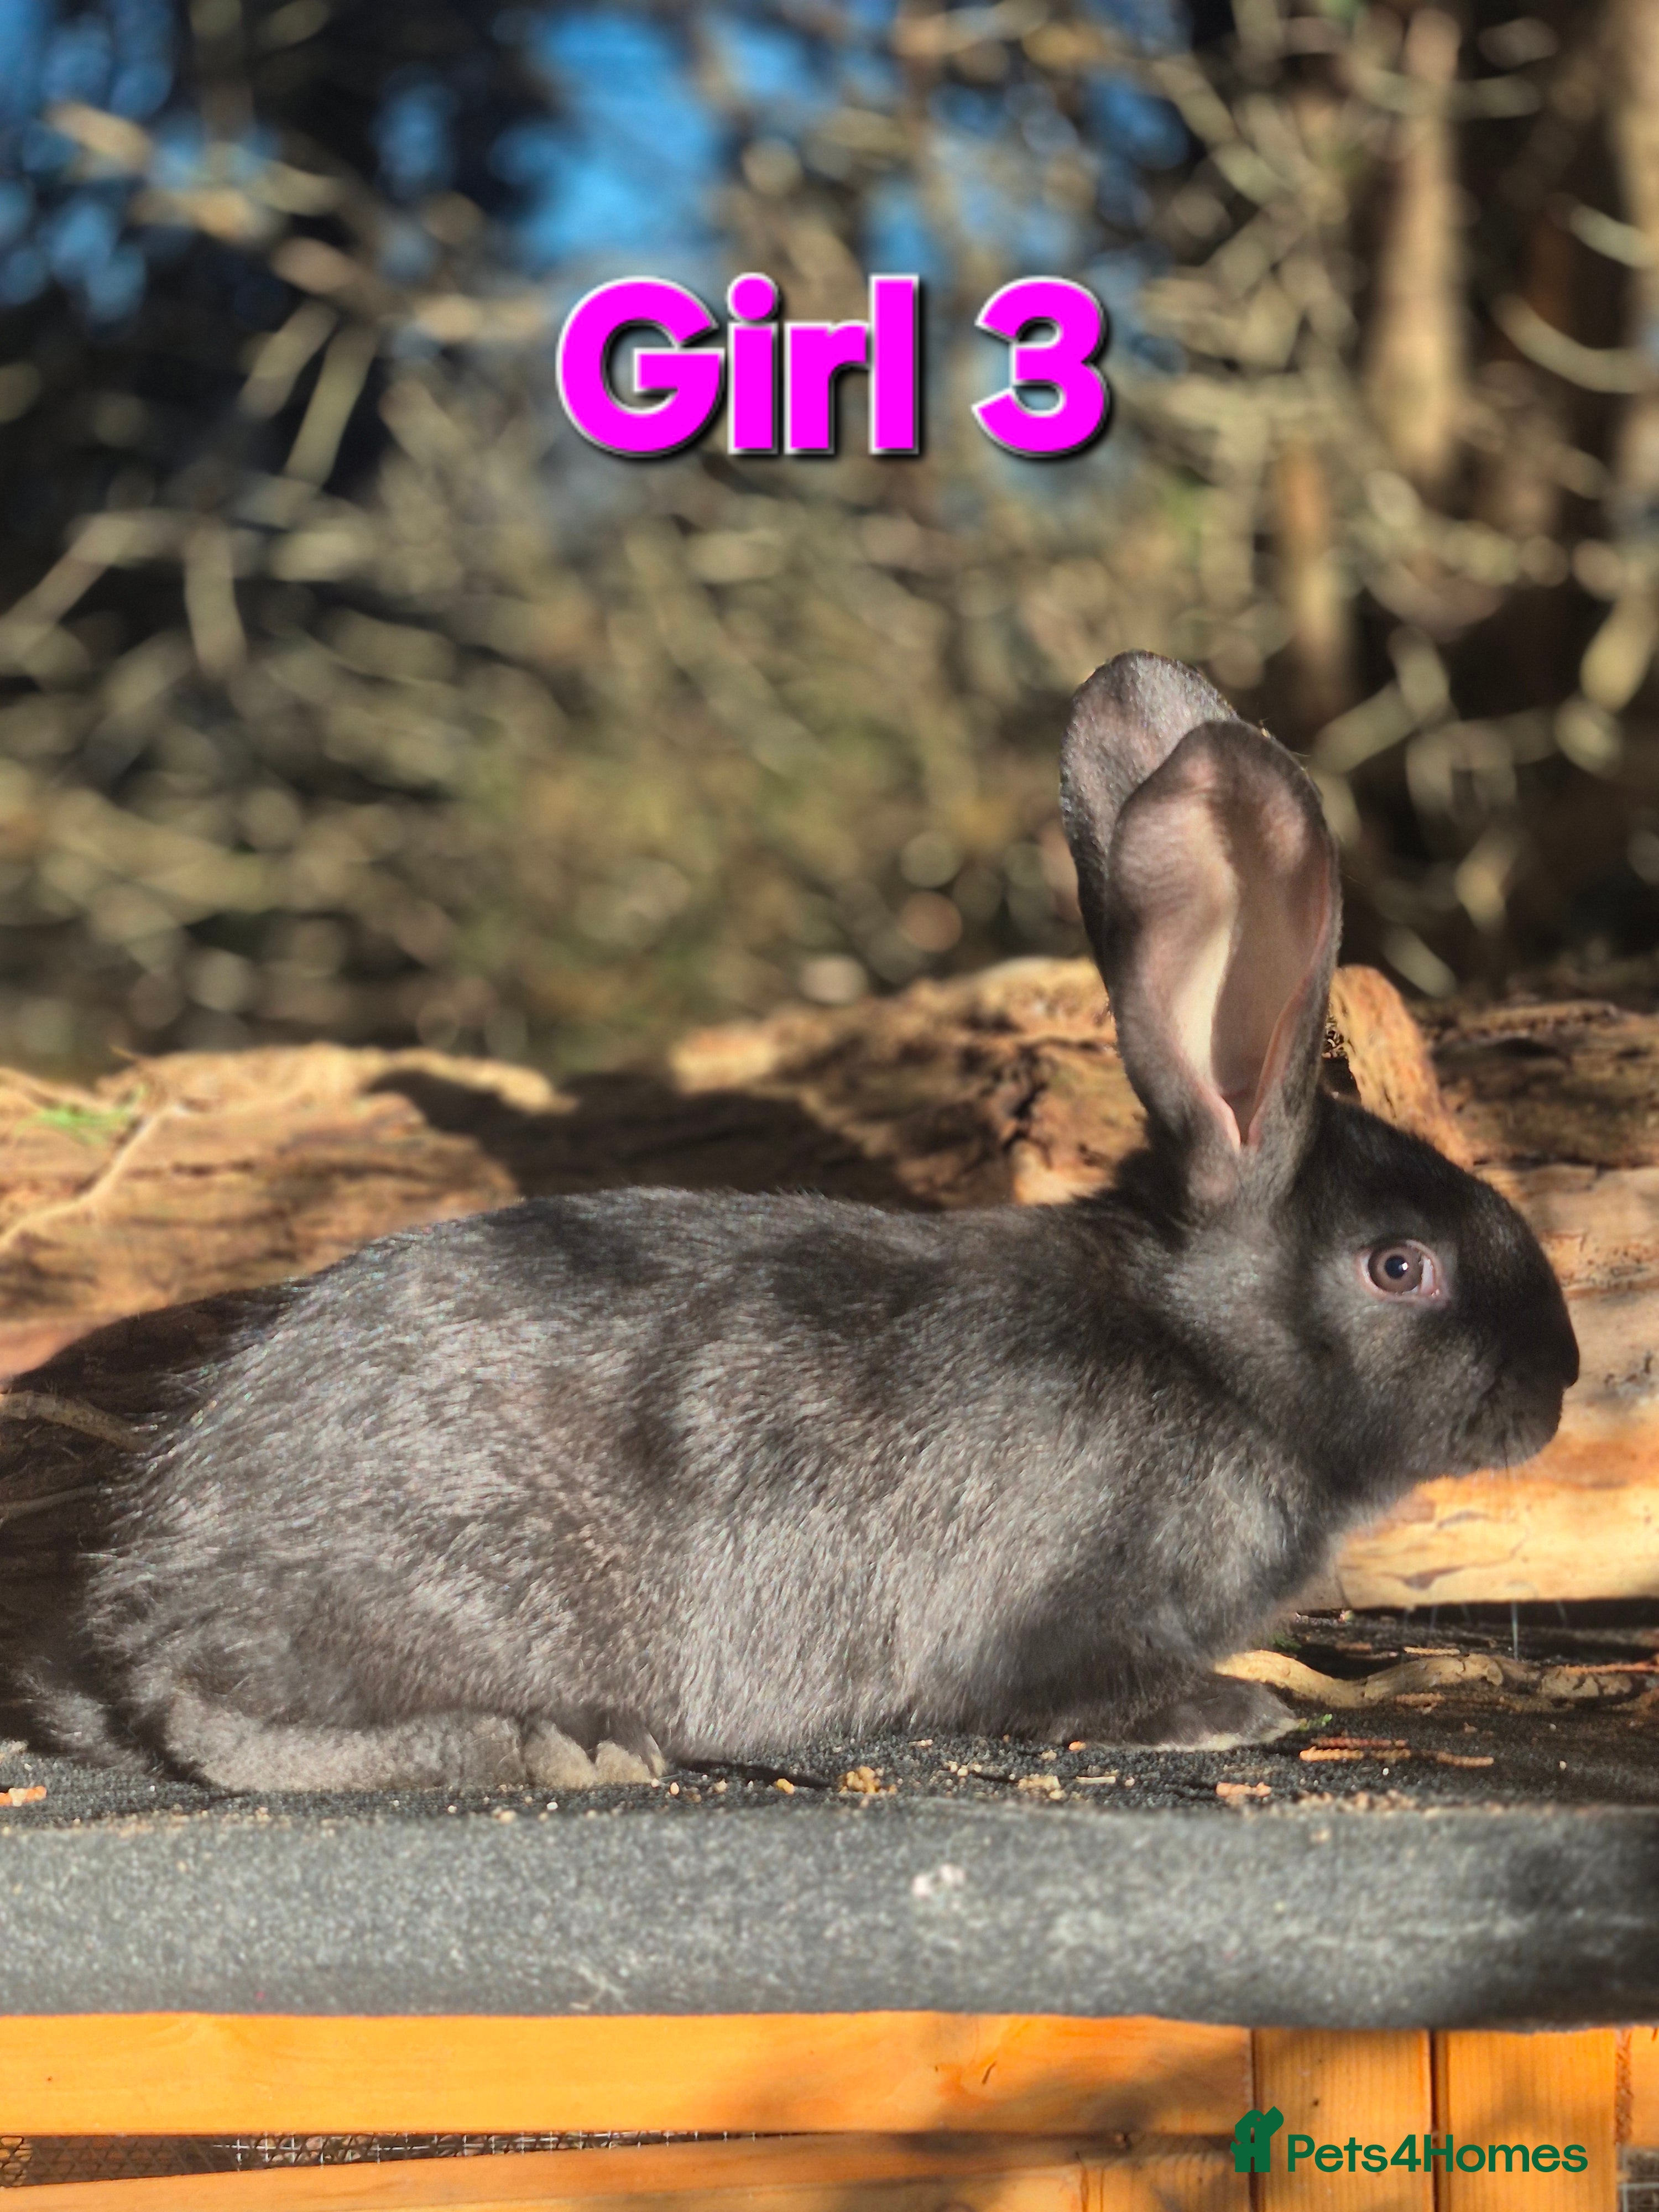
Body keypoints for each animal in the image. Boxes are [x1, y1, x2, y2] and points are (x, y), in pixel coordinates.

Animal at [0, 652, 1578, 1792]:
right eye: (1400, 1265)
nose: (1558, 1388)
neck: (1206, 1355)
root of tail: (152, 1569)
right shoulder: (1055, 1610)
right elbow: (1072, 1692)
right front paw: (1229, 1713)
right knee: (215, 1722)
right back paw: (566, 1748)